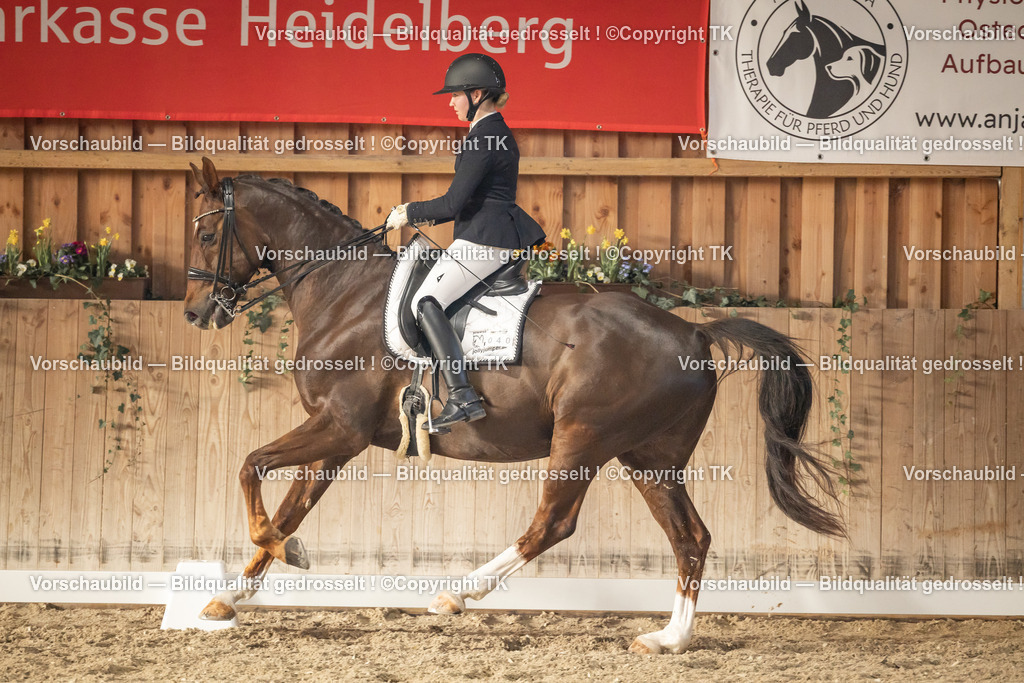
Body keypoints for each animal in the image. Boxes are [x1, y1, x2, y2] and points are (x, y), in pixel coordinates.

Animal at [183, 157, 844, 654]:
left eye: (207, 235)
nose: (195, 314)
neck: (343, 294)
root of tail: (693, 333)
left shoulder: (339, 428)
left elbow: (250, 466)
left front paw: (281, 553)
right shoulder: (335, 437)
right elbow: (290, 506)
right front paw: (234, 592)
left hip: (582, 439)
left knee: (554, 521)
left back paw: (458, 593)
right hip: (649, 457)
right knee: (691, 536)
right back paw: (669, 639)